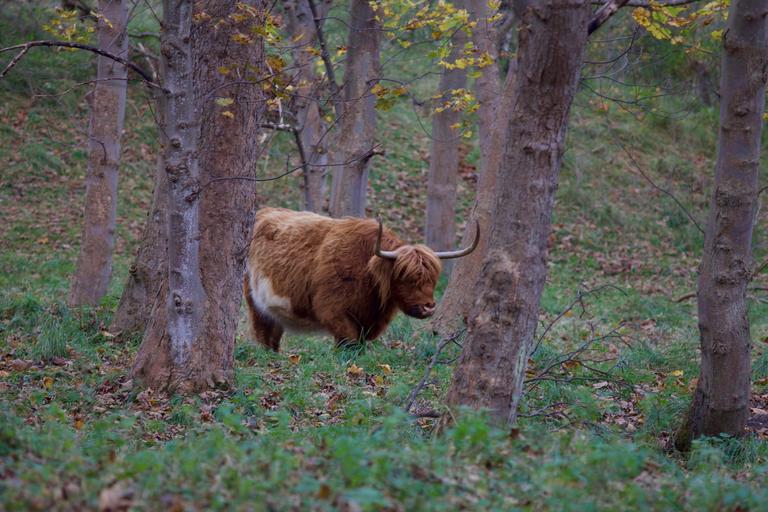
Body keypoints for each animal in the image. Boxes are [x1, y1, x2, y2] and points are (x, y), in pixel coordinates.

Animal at [243, 207, 479, 351]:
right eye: (406, 278)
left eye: (433, 279)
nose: (428, 307)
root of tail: (263, 212)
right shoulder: (334, 312)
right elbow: (349, 344)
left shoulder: (370, 323)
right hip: (257, 303)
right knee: (262, 333)